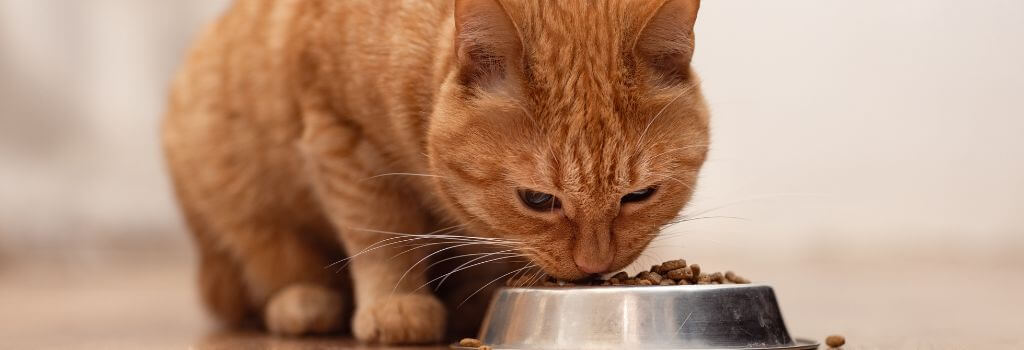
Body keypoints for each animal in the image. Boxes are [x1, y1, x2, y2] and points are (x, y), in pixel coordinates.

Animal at [163, 0, 708, 343]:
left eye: (639, 196)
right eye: (537, 201)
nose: (595, 267)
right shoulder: (341, 134)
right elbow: (380, 234)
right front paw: (397, 304)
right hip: (236, 196)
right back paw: (302, 301)